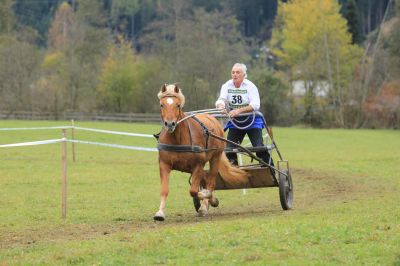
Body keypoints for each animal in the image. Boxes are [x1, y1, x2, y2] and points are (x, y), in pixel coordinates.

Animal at [155, 84, 248, 221]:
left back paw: (207, 203)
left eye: (178, 105)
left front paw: (206, 198)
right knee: (205, 178)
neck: (178, 139)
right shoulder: (164, 165)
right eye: (162, 105)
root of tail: (212, 119)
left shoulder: (198, 165)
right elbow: (164, 190)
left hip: (215, 158)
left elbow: (193, 190)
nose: (170, 124)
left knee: (211, 181)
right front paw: (160, 213)